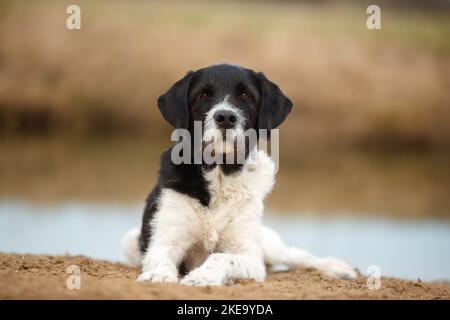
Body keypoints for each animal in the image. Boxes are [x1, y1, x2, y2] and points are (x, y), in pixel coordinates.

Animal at [121, 63, 356, 286]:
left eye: (245, 95)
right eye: (203, 94)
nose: (225, 117)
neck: (220, 176)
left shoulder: (249, 255)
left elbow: (222, 258)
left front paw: (203, 277)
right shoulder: (164, 242)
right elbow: (162, 260)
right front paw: (158, 275)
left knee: (295, 255)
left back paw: (337, 267)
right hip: (130, 241)